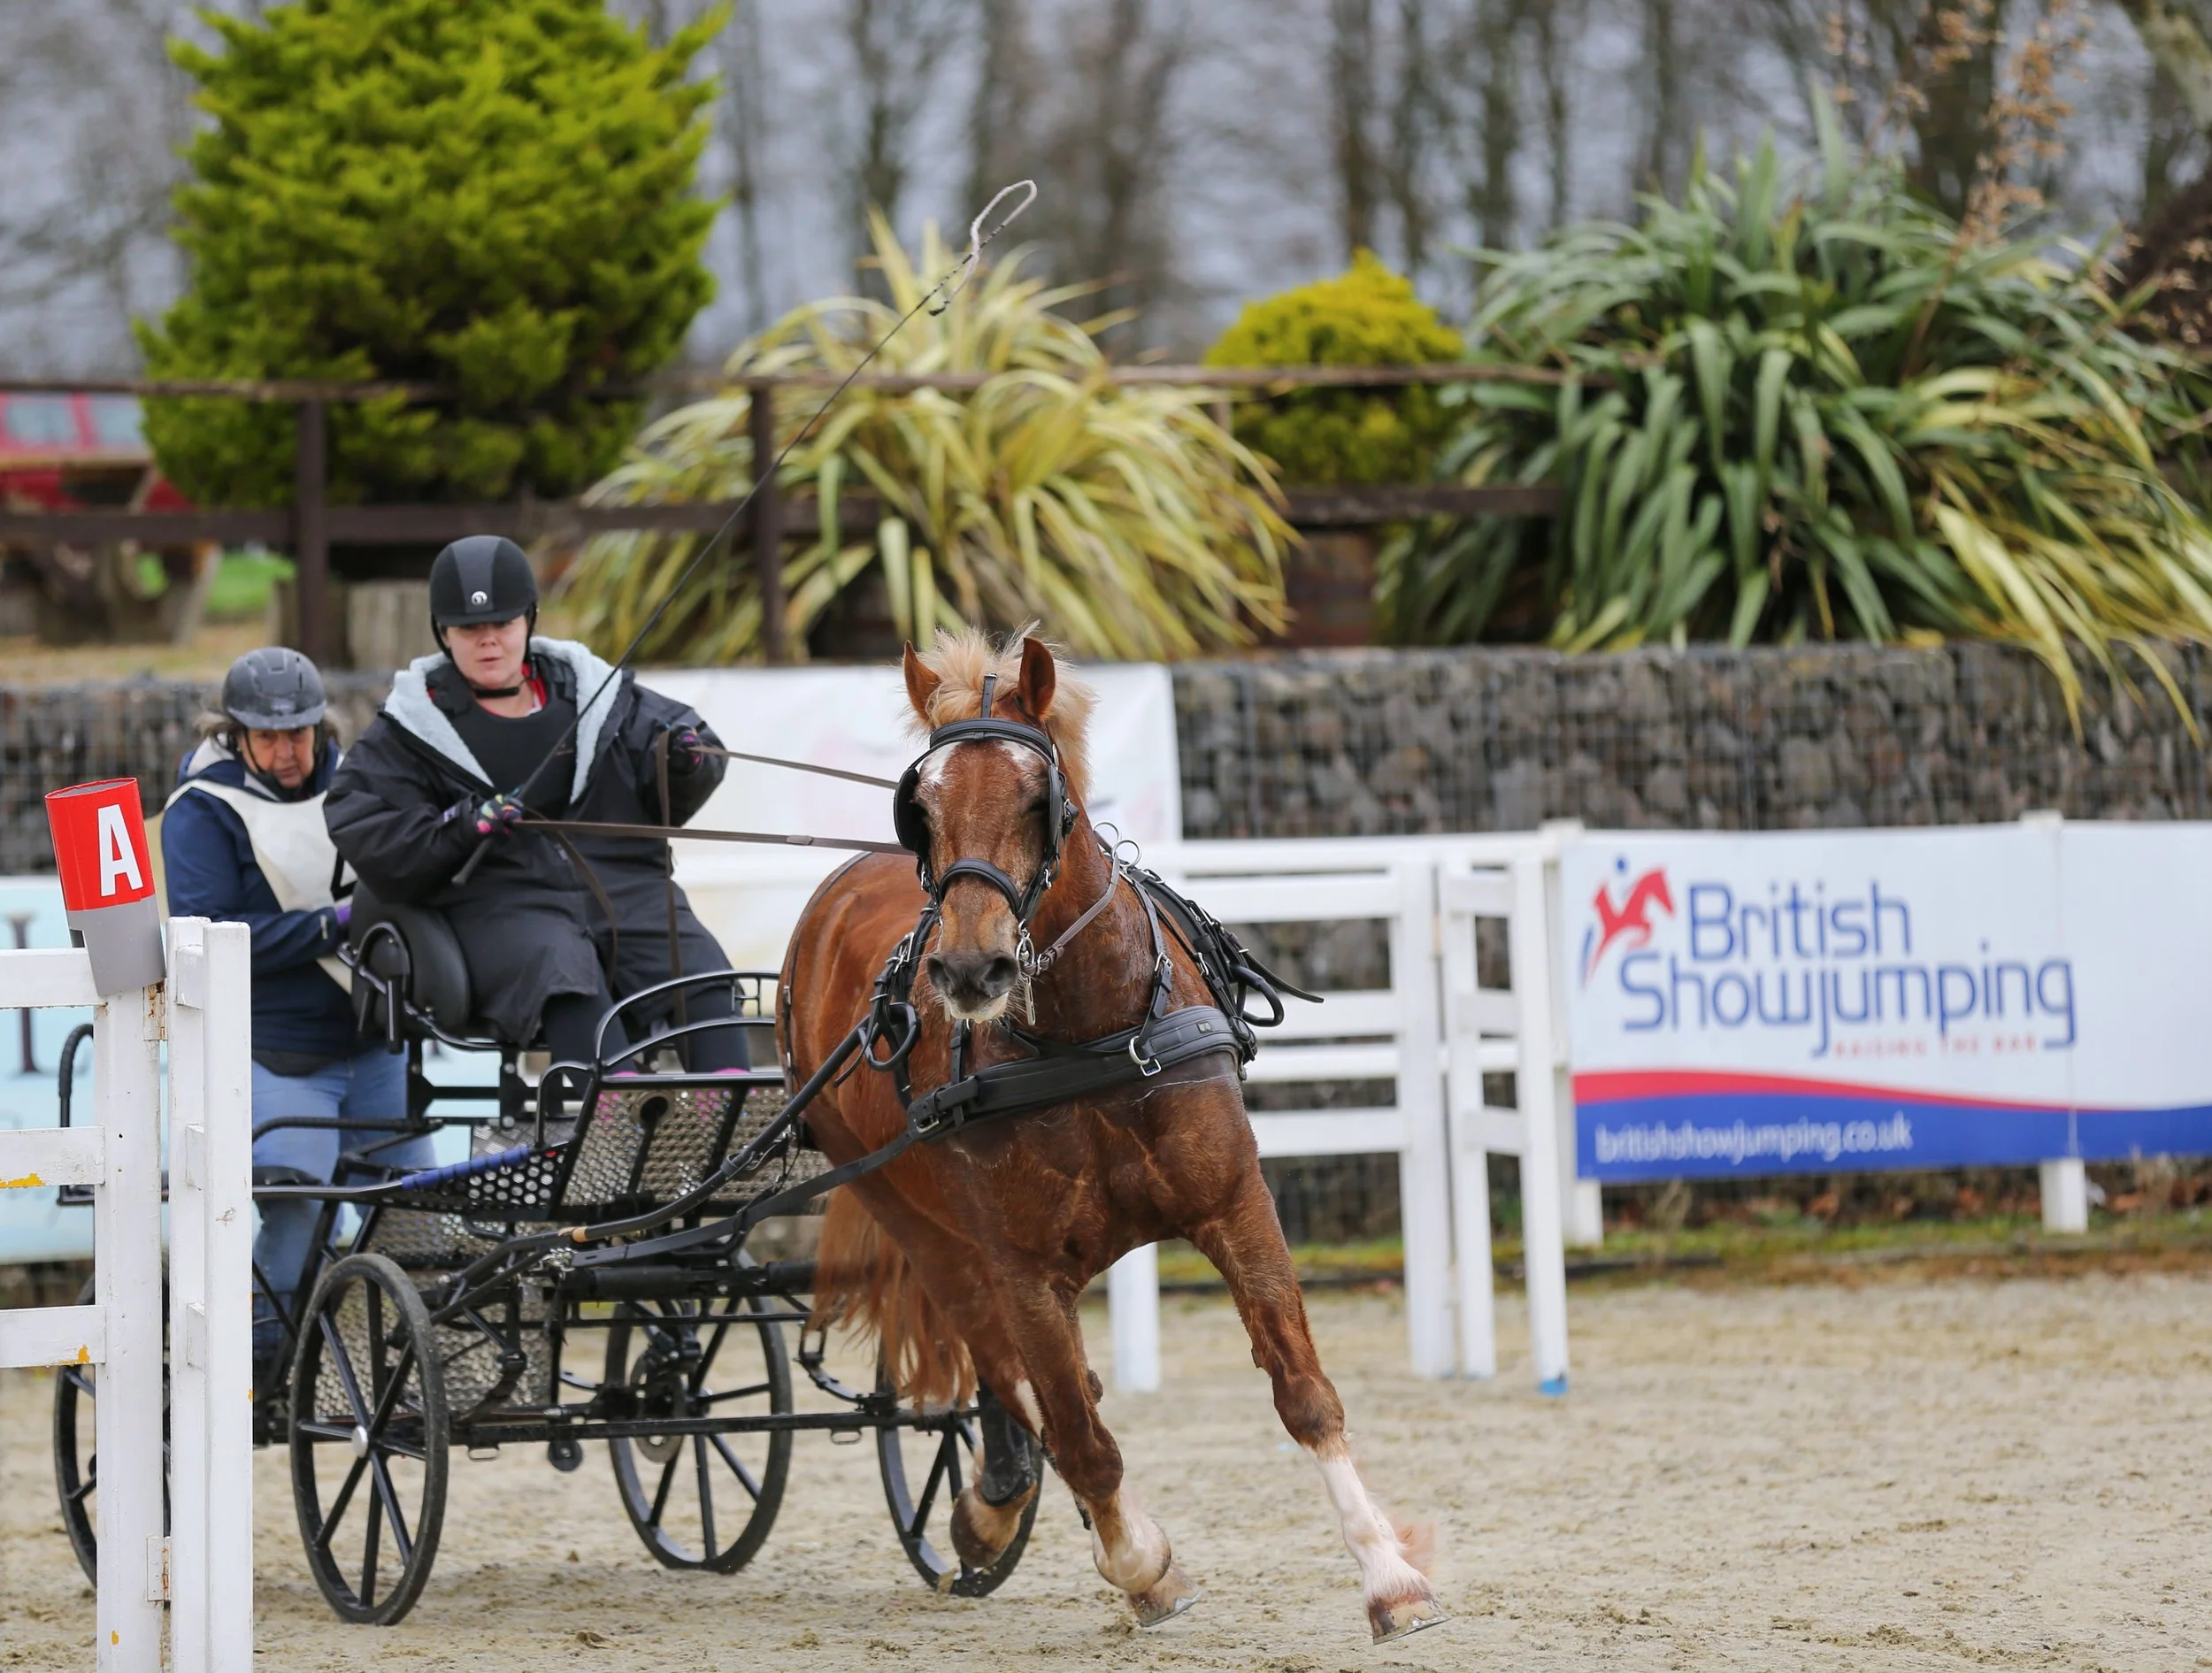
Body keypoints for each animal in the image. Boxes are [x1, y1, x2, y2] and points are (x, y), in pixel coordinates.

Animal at [778, 628, 1446, 1644]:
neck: (1089, 1032)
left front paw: (1388, 1575)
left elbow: (1302, 1390)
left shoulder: (1235, 1204)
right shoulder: (1019, 1266)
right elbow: (1079, 1434)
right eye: (920, 807)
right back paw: (1004, 1509)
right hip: (918, 1221)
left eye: (1037, 797)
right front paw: (1144, 1566)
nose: (969, 968)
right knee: (1016, 1378)